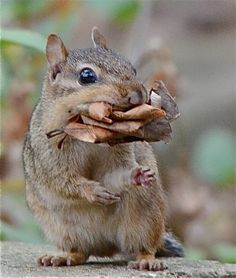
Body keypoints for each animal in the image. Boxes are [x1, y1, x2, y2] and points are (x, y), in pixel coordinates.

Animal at [22, 27, 184, 270]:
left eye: (132, 67)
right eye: (86, 76)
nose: (138, 94)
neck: (89, 130)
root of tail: (107, 247)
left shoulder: (122, 150)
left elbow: (116, 174)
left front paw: (136, 175)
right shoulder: (48, 158)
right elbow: (62, 181)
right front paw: (91, 190)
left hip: (144, 220)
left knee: (143, 246)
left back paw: (146, 260)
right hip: (62, 229)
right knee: (80, 252)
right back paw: (62, 257)